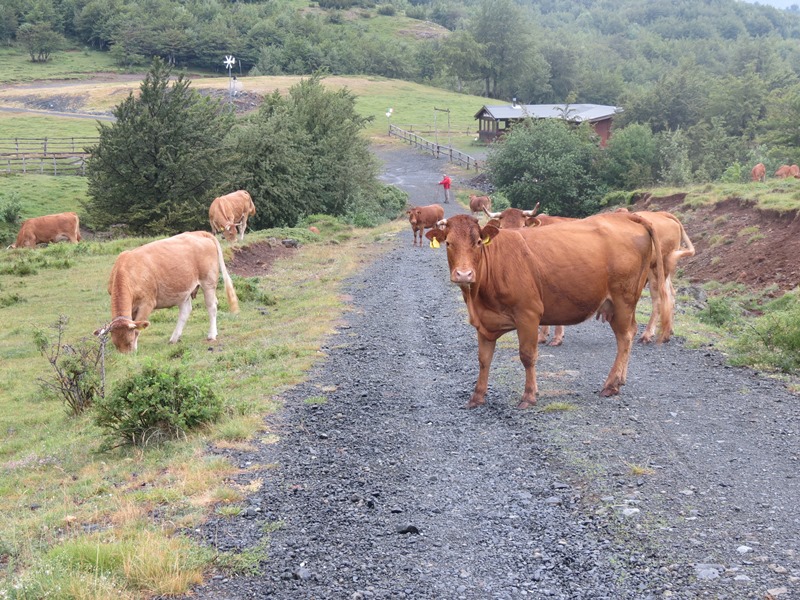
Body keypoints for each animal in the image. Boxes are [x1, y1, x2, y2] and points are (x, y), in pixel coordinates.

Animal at [96, 230, 238, 352]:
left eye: (129, 342)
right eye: (115, 344)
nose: (126, 356)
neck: (126, 270)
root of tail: (199, 233)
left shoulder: (147, 303)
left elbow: (137, 328)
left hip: (208, 282)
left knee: (211, 306)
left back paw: (211, 335)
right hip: (184, 288)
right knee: (185, 311)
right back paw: (174, 338)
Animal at [424, 212, 668, 408]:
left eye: (477, 242)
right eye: (448, 243)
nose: (464, 274)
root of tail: (625, 215)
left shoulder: (528, 314)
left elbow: (527, 355)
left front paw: (529, 396)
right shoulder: (484, 322)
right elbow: (484, 359)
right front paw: (477, 397)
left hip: (623, 300)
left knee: (624, 338)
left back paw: (611, 385)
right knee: (631, 332)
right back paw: (621, 379)